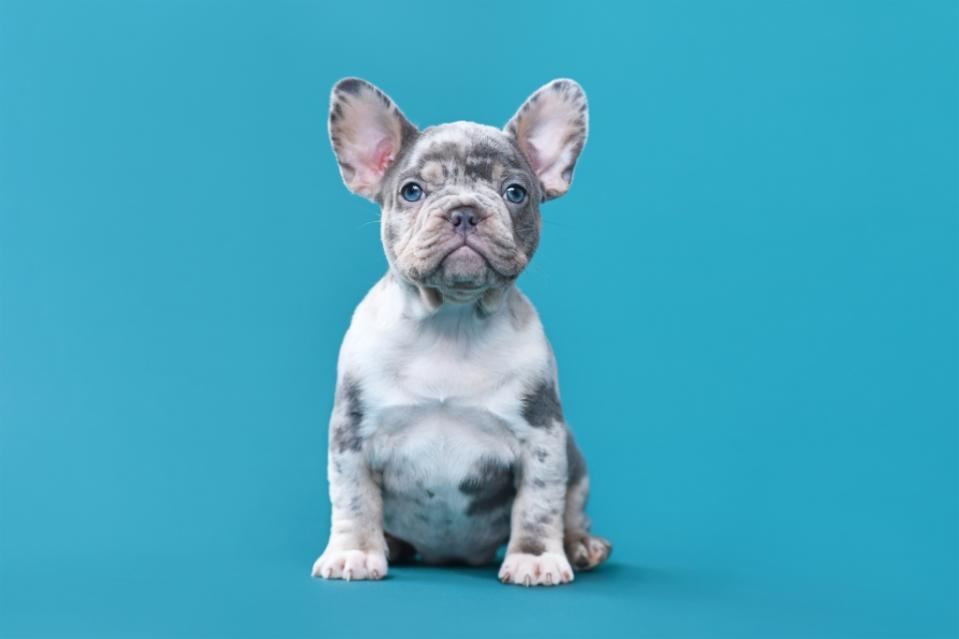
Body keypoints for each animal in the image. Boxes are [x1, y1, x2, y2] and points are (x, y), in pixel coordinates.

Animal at [316, 77, 616, 588]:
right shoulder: (351, 436)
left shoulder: (543, 437)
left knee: (572, 507)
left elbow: (539, 503)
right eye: (412, 191)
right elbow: (353, 497)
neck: (449, 323)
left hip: (576, 459)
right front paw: (354, 551)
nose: (464, 212)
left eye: (515, 192)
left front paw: (535, 557)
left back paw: (580, 545)